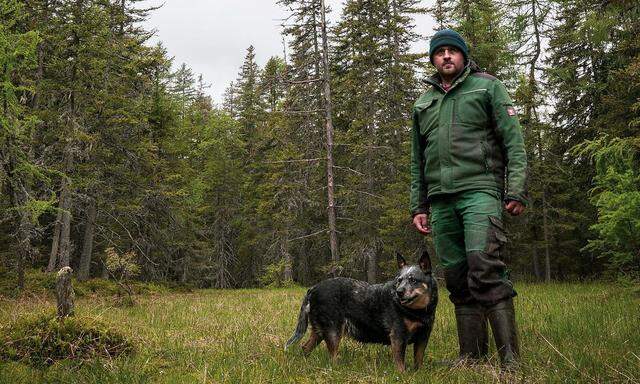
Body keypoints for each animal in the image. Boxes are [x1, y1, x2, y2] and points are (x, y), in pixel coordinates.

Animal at [288, 250, 438, 370]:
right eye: (399, 280)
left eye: (413, 280)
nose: (399, 292)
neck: (418, 312)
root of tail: (312, 289)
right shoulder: (398, 336)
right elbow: (400, 363)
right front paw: (403, 375)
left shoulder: (423, 337)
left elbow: (419, 360)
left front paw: (418, 373)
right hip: (333, 332)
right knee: (332, 357)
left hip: (319, 331)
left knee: (305, 347)